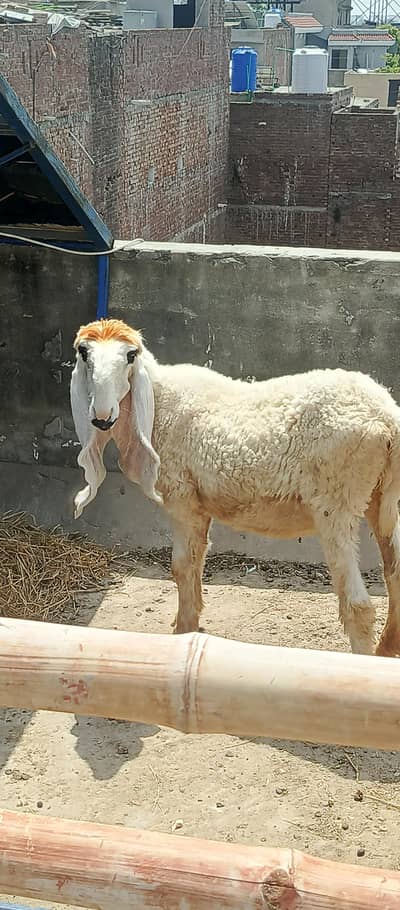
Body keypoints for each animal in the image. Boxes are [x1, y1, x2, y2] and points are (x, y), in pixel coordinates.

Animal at [70, 317, 400, 658]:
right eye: (83, 353)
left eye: (130, 356)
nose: (102, 417)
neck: (158, 404)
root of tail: (387, 417)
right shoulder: (200, 506)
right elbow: (197, 560)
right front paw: (192, 623)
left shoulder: (182, 498)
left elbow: (181, 567)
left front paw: (183, 632)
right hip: (378, 496)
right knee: (395, 572)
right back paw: (387, 648)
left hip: (336, 501)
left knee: (358, 605)